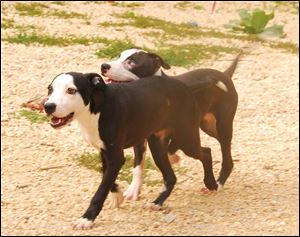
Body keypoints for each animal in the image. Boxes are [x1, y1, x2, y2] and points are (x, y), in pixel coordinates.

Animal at [44, 72, 220, 230]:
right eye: (50, 89)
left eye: (71, 90)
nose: (48, 106)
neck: (99, 108)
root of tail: (186, 87)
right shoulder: (105, 153)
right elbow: (106, 177)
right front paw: (117, 195)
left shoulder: (116, 157)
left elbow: (100, 190)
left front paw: (87, 218)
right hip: (157, 146)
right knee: (171, 177)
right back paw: (157, 203)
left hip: (186, 139)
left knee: (206, 152)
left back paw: (211, 183)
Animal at [102, 48, 240, 202]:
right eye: (119, 56)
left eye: (132, 62)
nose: (104, 66)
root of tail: (224, 74)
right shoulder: (140, 139)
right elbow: (138, 165)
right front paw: (133, 190)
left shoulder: (178, 134)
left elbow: (169, 149)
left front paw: (173, 158)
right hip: (208, 126)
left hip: (222, 125)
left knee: (225, 152)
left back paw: (219, 182)